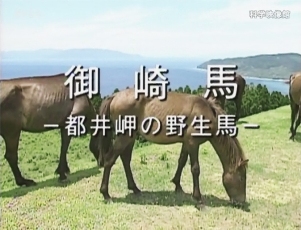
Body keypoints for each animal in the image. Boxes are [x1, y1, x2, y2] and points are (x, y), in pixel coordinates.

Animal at [96, 88, 248, 210]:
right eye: (242, 178)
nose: (241, 202)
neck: (205, 113)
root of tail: (115, 96)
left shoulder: (186, 143)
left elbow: (181, 161)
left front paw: (177, 185)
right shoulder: (193, 144)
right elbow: (195, 169)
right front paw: (198, 199)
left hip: (130, 136)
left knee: (125, 159)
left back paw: (135, 188)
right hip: (125, 136)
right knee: (110, 160)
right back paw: (106, 194)